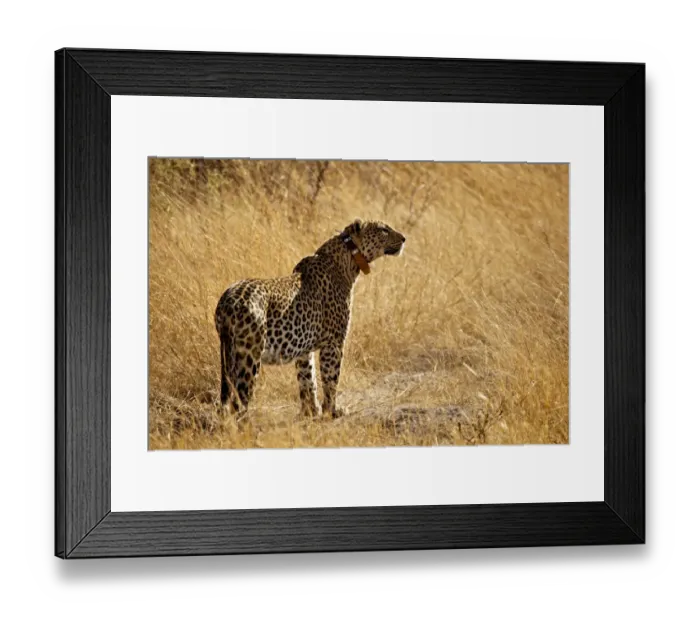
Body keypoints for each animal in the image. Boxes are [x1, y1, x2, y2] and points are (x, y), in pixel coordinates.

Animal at [214, 218, 406, 422]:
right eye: (383, 230)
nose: (404, 238)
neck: (348, 259)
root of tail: (227, 302)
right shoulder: (334, 343)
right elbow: (331, 378)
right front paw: (332, 410)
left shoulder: (304, 349)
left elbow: (308, 379)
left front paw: (311, 411)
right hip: (249, 355)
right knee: (240, 397)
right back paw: (246, 424)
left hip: (229, 352)